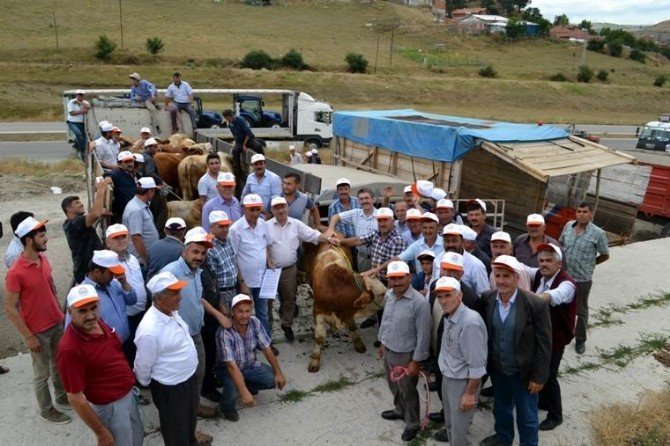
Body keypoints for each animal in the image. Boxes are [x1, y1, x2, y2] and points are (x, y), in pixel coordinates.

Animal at [310, 244, 388, 372]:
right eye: (382, 294)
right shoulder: (318, 311)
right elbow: (319, 337)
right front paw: (314, 361)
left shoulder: (348, 311)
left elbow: (351, 326)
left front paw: (358, 343)